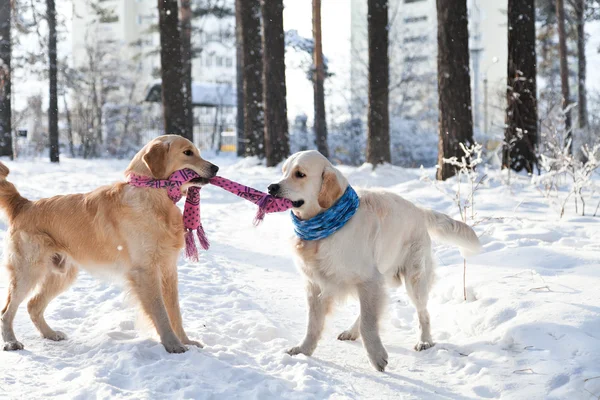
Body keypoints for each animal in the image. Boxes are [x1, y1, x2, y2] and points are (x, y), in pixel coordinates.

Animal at [0, 134, 219, 354]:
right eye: (188, 152)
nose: (216, 168)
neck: (153, 195)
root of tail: (24, 204)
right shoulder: (145, 271)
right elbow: (160, 311)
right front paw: (172, 344)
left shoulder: (168, 269)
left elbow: (175, 312)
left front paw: (186, 341)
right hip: (28, 271)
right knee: (7, 311)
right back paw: (12, 342)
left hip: (62, 274)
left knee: (33, 305)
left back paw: (50, 334)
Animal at [268, 151, 482, 372]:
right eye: (284, 171)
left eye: (300, 174)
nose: (271, 187)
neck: (325, 227)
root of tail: (418, 209)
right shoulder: (316, 285)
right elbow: (313, 324)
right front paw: (304, 350)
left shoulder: (368, 279)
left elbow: (369, 322)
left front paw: (377, 356)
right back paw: (351, 332)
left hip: (414, 279)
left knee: (423, 313)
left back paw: (424, 341)